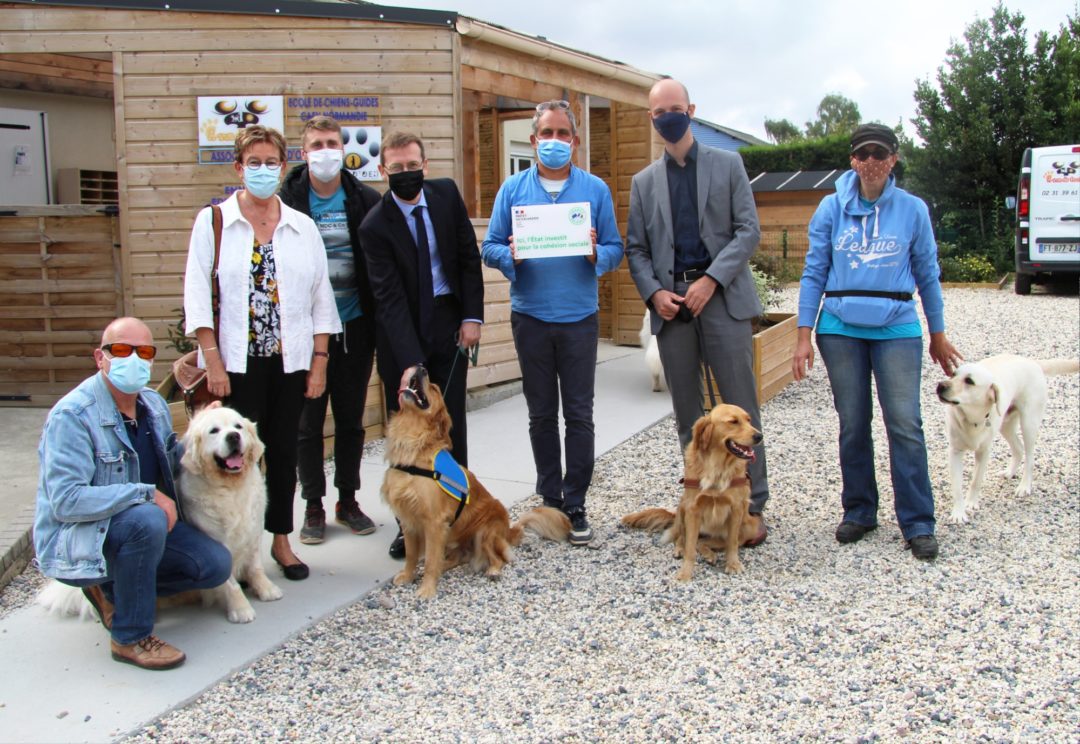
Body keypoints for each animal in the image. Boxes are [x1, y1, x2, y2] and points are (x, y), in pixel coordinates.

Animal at [382, 364, 570, 596]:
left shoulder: (434, 522)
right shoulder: (408, 519)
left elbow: (430, 561)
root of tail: (507, 530)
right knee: (456, 558)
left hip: (483, 532)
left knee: (499, 558)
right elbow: (411, 556)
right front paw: (408, 576)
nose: (421, 367)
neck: (413, 447)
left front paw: (427, 590)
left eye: (434, 388)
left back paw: (493, 571)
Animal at [622, 399, 764, 578]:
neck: (717, 467)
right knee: (684, 538)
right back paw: (681, 549)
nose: (759, 436)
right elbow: (690, 546)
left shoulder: (736, 508)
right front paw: (685, 573)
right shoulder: (693, 508)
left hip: (749, 527)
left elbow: (731, 543)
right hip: (683, 507)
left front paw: (733, 564)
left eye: (749, 420)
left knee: (705, 542)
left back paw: (709, 554)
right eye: (733, 421)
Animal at [933, 354, 1075, 522]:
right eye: (953, 374)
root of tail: (1033, 362)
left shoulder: (984, 452)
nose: (940, 385)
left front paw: (971, 503)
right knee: (1018, 448)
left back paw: (1024, 486)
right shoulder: (955, 451)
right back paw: (1010, 472)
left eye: (969, 381)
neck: (972, 419)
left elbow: (976, 481)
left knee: (1030, 456)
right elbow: (957, 487)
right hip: (1005, 425)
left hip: (1029, 423)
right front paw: (958, 513)